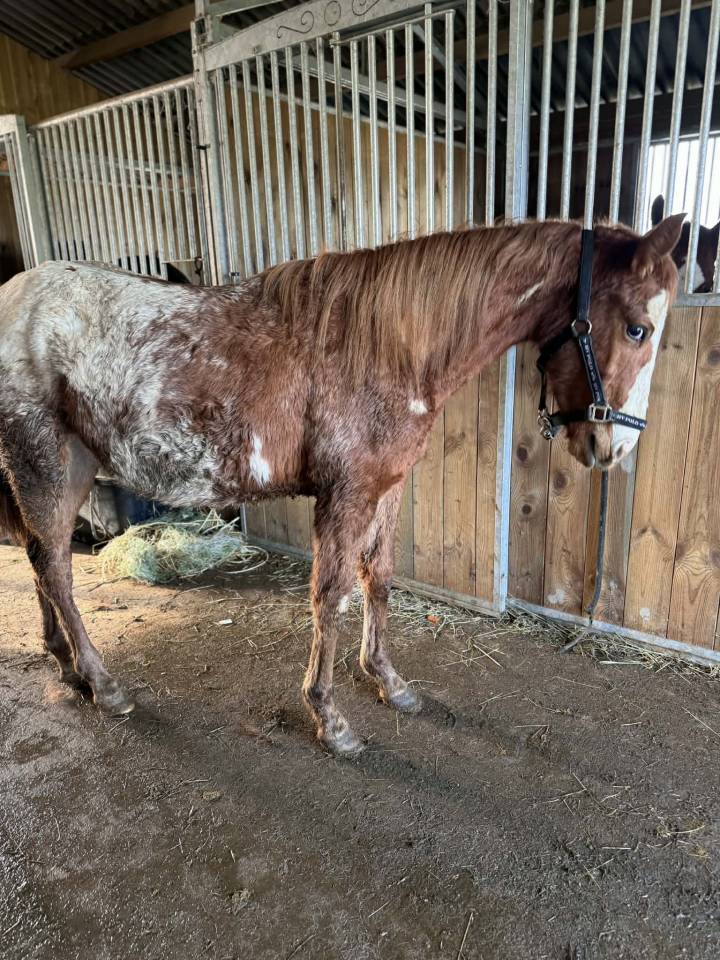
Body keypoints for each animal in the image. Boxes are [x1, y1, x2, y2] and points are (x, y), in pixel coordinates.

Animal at [0, 215, 683, 756]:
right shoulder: (346, 492)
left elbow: (377, 578)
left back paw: (65, 664)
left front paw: (388, 681)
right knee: (56, 567)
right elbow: (330, 595)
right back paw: (103, 684)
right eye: (637, 328)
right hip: (43, 460)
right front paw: (329, 717)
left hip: (70, 467)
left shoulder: (387, 486)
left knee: (41, 556)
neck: (390, 346)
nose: (614, 448)